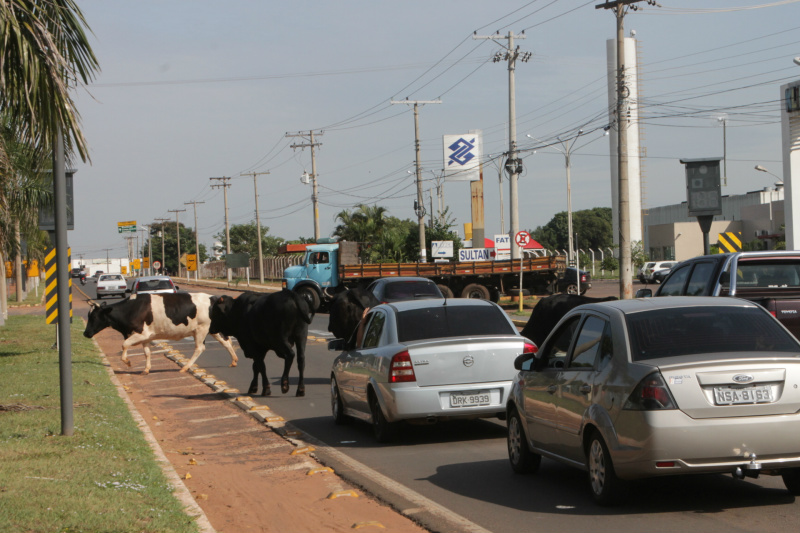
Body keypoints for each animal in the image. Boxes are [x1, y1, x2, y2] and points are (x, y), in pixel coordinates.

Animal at [86, 290, 241, 374]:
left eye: (93, 317)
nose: (85, 333)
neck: (132, 309)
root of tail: (212, 298)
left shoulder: (141, 333)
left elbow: (124, 344)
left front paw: (127, 362)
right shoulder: (147, 336)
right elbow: (147, 352)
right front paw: (146, 369)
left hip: (201, 329)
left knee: (200, 348)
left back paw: (185, 367)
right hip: (213, 329)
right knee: (226, 342)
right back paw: (234, 361)